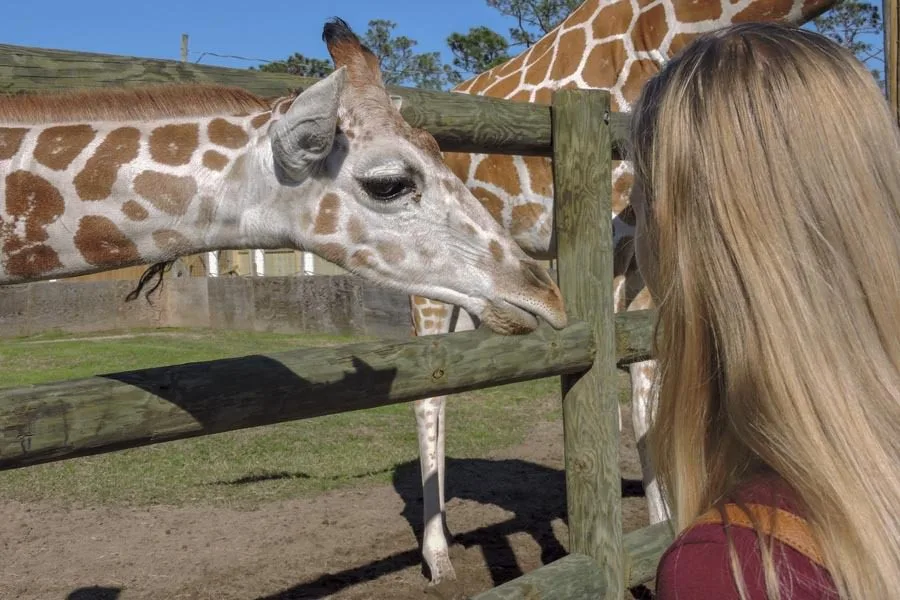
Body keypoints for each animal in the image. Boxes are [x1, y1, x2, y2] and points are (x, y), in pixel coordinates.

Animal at [409, 0, 838, 585]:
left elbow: (648, 391)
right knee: (427, 394)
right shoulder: (609, 238)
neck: (660, 32)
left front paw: (660, 534)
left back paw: (448, 533)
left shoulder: (643, 249)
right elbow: (610, 390)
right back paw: (437, 558)